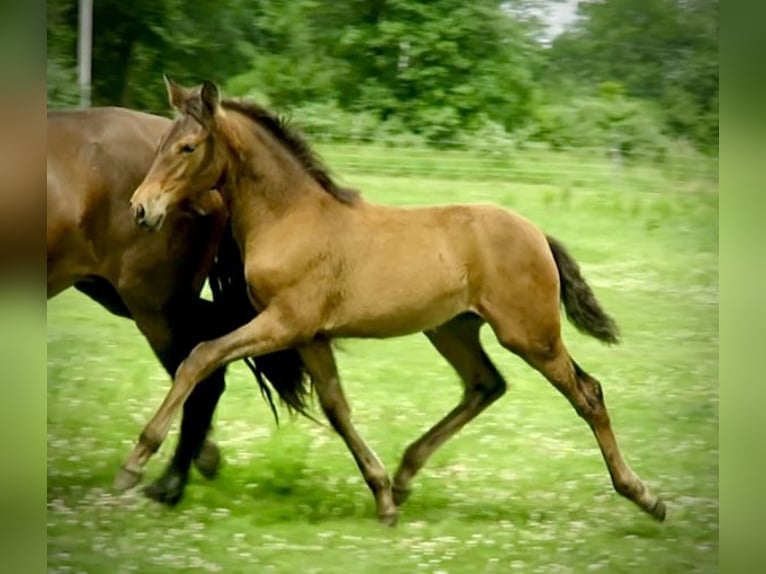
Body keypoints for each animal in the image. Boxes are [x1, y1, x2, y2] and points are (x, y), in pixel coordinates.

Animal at [47, 106, 310, 505]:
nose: (143, 209)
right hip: (123, 294)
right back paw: (190, 466)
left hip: (152, 301)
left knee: (203, 373)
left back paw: (166, 480)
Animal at [123, 77, 666, 525]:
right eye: (161, 145)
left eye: (188, 146)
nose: (141, 209)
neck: (291, 216)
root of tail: (538, 235)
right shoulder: (311, 335)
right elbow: (337, 407)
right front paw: (382, 496)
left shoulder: (285, 323)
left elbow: (201, 356)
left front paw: (136, 460)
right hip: (452, 329)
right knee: (485, 385)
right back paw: (405, 477)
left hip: (530, 334)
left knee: (587, 393)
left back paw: (644, 495)